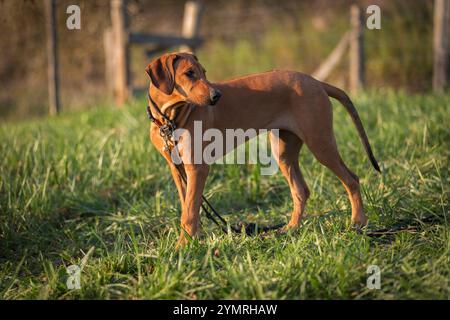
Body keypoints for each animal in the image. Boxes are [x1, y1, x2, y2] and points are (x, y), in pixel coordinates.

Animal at [147, 52, 380, 248]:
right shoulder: (177, 168)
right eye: (189, 73)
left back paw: (358, 222)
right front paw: (193, 239)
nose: (216, 96)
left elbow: (189, 211)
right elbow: (189, 205)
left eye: (204, 72)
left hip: (320, 142)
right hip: (284, 152)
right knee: (301, 191)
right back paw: (290, 229)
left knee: (351, 179)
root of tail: (315, 81)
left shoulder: (197, 167)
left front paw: (182, 246)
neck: (169, 120)